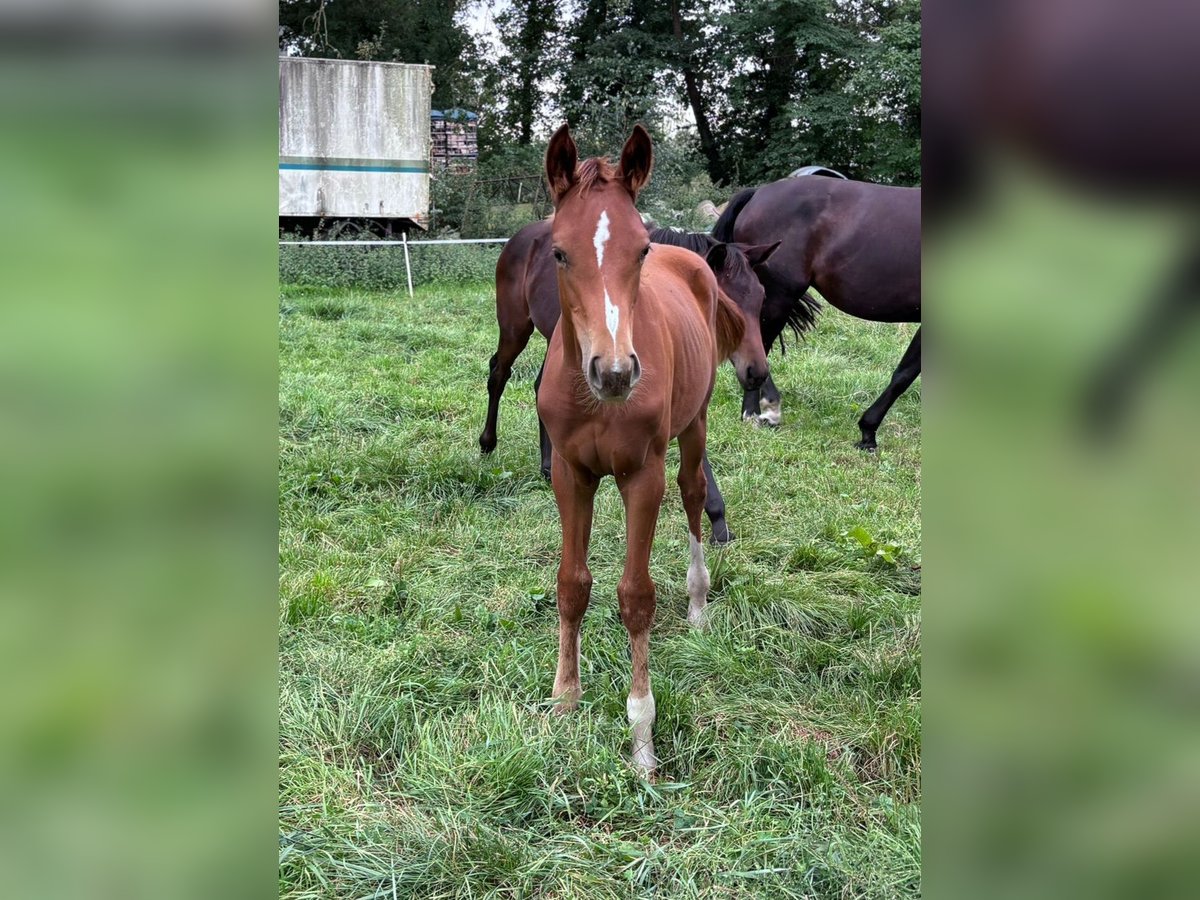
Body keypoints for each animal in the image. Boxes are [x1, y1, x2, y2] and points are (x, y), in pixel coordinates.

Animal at [480, 216, 772, 547]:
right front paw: (716, 519)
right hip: (515, 326)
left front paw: (719, 522)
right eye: (728, 305)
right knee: (499, 372)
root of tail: (520, 237)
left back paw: (547, 465)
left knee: (539, 384)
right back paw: (487, 443)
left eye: (761, 297)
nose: (757, 371)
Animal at [540, 125, 744, 777]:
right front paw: (565, 700)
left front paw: (641, 738)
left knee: (694, 493)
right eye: (559, 252)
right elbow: (571, 584)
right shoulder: (572, 474)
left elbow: (636, 597)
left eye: (641, 251)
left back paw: (700, 604)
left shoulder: (641, 476)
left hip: (695, 423)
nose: (614, 372)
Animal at [715, 175, 921, 451]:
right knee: (760, 346)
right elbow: (904, 375)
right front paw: (868, 433)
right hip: (778, 296)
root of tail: (759, 193)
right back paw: (756, 412)